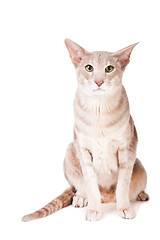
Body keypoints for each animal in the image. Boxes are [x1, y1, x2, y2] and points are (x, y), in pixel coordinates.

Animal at [21, 39, 149, 221]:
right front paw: (94, 210)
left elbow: (123, 187)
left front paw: (124, 208)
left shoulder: (127, 149)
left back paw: (141, 194)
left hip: (140, 167)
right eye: (89, 68)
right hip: (70, 150)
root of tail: (107, 198)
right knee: (80, 187)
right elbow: (91, 186)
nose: (99, 82)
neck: (99, 110)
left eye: (109, 68)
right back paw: (81, 197)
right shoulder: (84, 150)